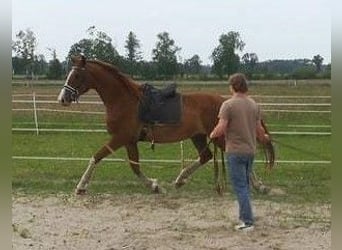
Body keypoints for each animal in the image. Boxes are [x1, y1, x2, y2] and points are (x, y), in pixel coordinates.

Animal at [57, 55, 274, 194]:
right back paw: (179, 180)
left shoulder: (120, 138)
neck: (124, 100)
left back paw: (259, 185)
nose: (63, 98)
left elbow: (96, 157)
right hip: (198, 136)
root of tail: (224, 101)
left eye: (76, 76)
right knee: (206, 156)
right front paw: (155, 185)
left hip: (218, 136)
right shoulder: (130, 141)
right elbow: (135, 167)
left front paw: (81, 186)